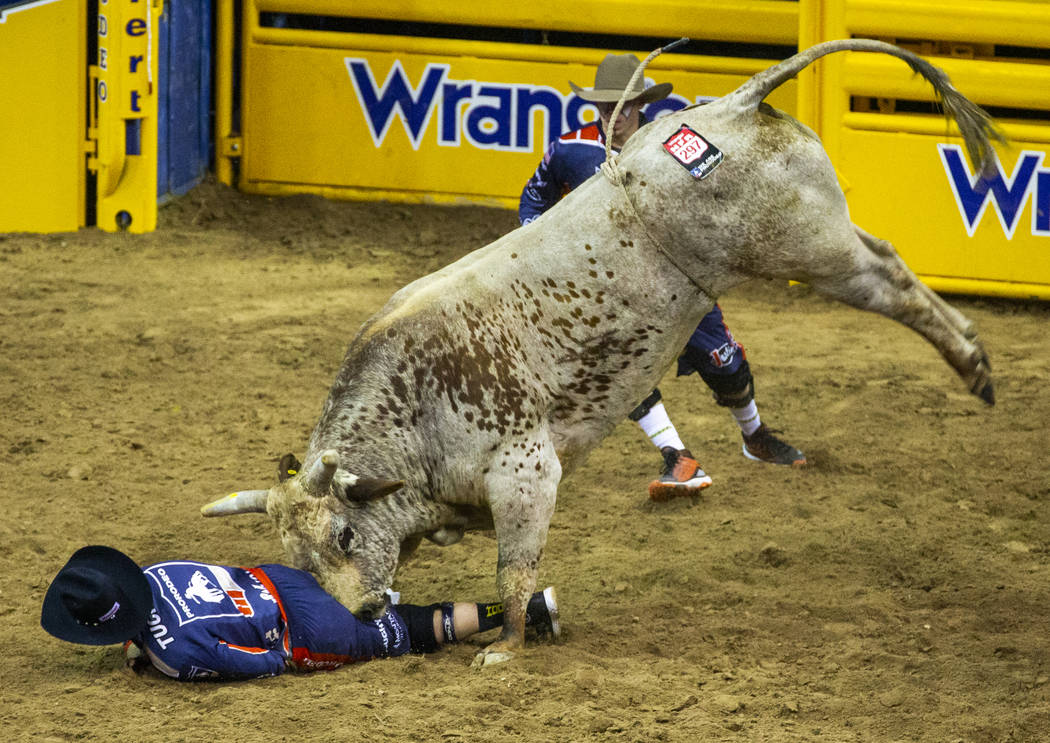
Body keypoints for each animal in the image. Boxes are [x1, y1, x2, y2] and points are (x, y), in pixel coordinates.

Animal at [202, 40, 999, 667]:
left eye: (343, 533)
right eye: (300, 562)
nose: (365, 612)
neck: (415, 405)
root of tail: (731, 106)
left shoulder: (525, 474)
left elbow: (514, 569)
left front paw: (506, 647)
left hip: (802, 246)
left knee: (889, 277)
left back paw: (975, 367)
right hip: (815, 240)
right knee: (884, 262)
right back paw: (973, 359)